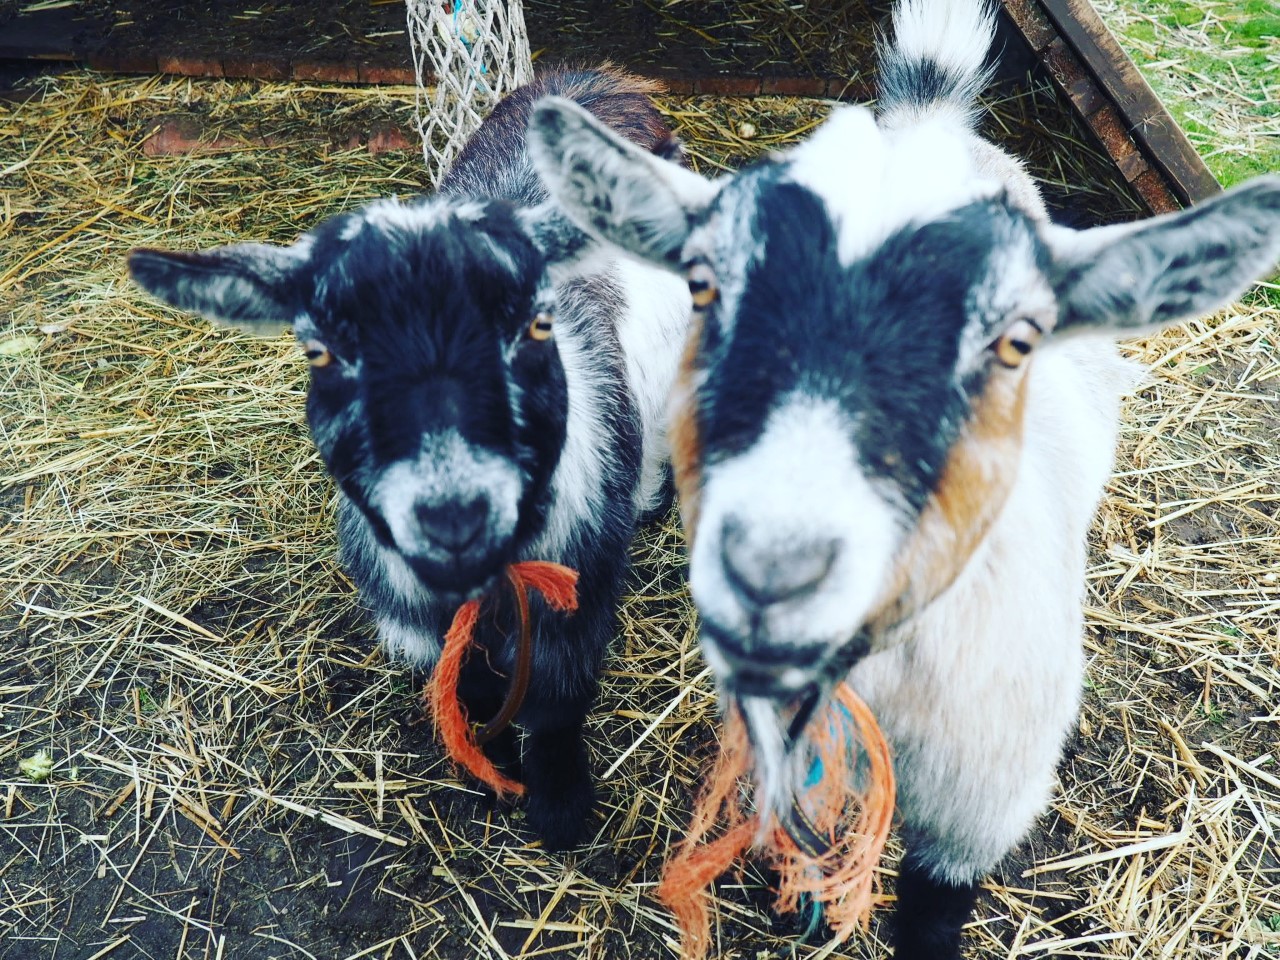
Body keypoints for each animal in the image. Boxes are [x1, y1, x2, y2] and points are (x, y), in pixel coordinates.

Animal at [128, 66, 691, 851]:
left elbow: (560, 699)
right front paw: (489, 764)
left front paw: (561, 808)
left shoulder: (580, 593)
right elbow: (473, 688)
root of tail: (590, 81)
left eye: (528, 327)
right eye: (326, 351)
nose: (451, 512)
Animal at [527, 1, 1280, 953]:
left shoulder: (984, 791)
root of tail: (928, 131)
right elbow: (811, 850)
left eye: (1012, 338)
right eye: (708, 290)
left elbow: (932, 905)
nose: (777, 560)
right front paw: (799, 911)